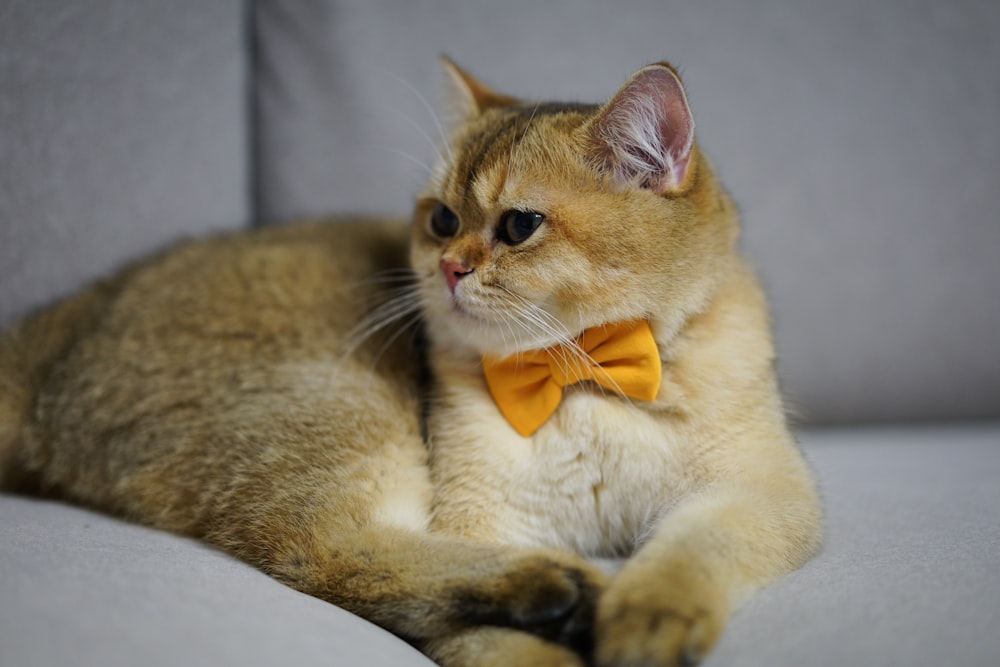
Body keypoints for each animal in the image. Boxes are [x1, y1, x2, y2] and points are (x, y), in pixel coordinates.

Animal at [0, 58, 820, 667]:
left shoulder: (761, 492)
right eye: (442, 220)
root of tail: (53, 333)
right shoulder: (475, 516)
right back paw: (552, 586)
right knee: (327, 552)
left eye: (519, 225)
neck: (578, 377)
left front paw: (646, 617)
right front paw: (555, 640)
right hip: (336, 403)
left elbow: (689, 551)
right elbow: (486, 642)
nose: (449, 268)